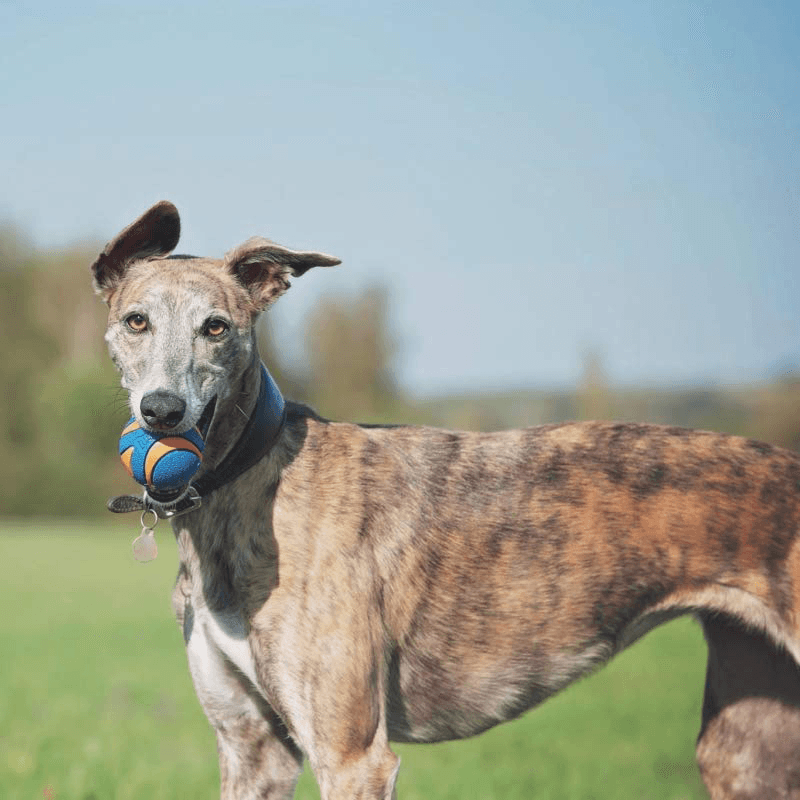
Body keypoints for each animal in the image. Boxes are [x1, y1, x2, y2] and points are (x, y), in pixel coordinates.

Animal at [94, 202, 800, 800]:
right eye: (136, 321)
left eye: (216, 327)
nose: (162, 412)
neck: (251, 483)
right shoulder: (252, 747)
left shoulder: (352, 755)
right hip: (746, 743)